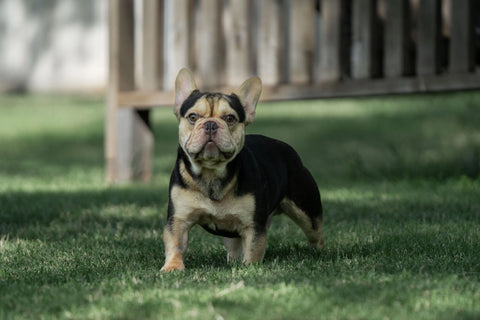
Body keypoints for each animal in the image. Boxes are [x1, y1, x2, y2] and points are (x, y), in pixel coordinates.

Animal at [160, 69, 322, 272]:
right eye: (193, 117)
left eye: (230, 118)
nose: (211, 124)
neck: (211, 172)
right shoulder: (178, 219)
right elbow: (175, 243)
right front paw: (173, 267)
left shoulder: (253, 224)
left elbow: (254, 248)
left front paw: (250, 268)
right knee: (233, 248)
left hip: (307, 210)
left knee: (316, 234)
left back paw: (320, 254)